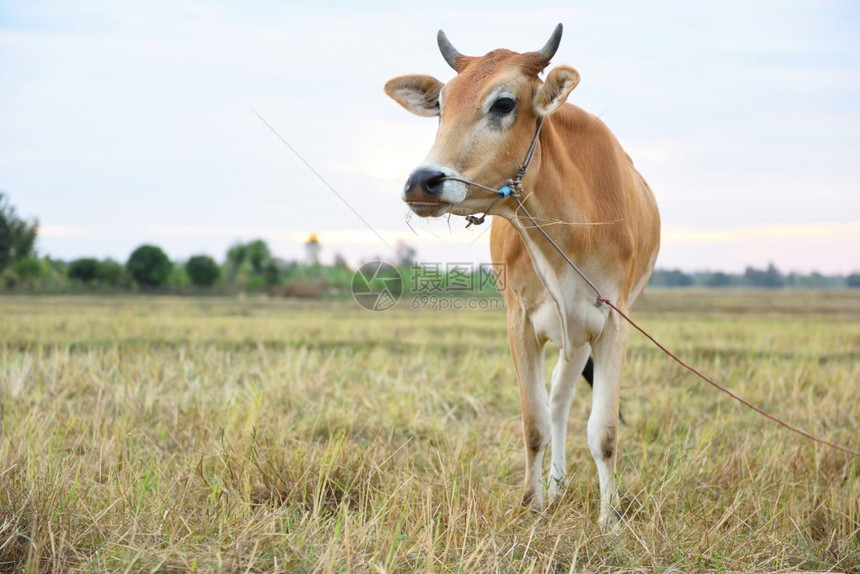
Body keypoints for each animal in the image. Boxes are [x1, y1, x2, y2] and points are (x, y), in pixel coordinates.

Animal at [386, 25, 660, 532]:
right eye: (441, 105)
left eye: (503, 103)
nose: (421, 182)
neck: (568, 227)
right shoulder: (520, 321)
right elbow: (534, 422)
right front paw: (530, 503)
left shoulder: (612, 322)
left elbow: (604, 432)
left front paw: (610, 519)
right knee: (556, 403)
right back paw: (554, 488)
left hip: (582, 336)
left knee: (565, 401)